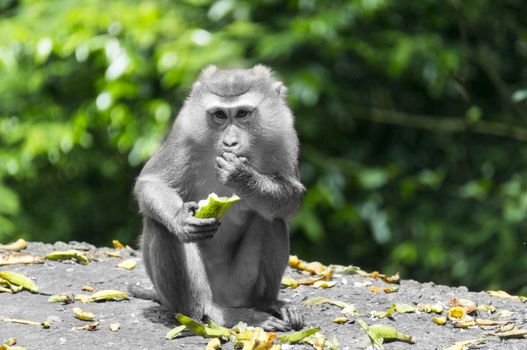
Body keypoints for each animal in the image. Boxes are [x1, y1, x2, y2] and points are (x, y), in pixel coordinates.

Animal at [134, 65, 306, 330]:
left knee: (271, 219)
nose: (230, 142)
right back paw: (208, 312)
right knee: (160, 225)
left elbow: (291, 197)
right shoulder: (184, 133)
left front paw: (243, 177)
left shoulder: (284, 137)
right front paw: (180, 219)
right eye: (220, 115)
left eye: (242, 113)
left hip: (240, 288)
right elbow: (152, 182)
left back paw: (267, 304)